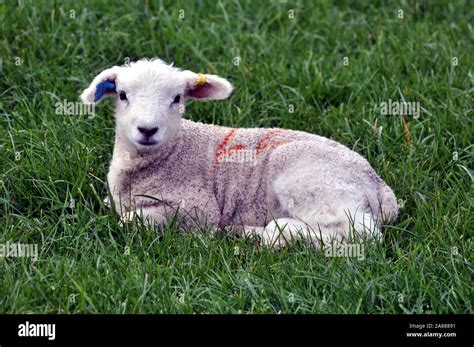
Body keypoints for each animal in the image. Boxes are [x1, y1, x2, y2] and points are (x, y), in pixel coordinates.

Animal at [79, 59, 398, 250]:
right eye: (122, 95)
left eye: (177, 98)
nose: (147, 129)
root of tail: (380, 186)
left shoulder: (198, 208)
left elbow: (129, 220)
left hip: (313, 184)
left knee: (356, 234)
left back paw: (262, 233)